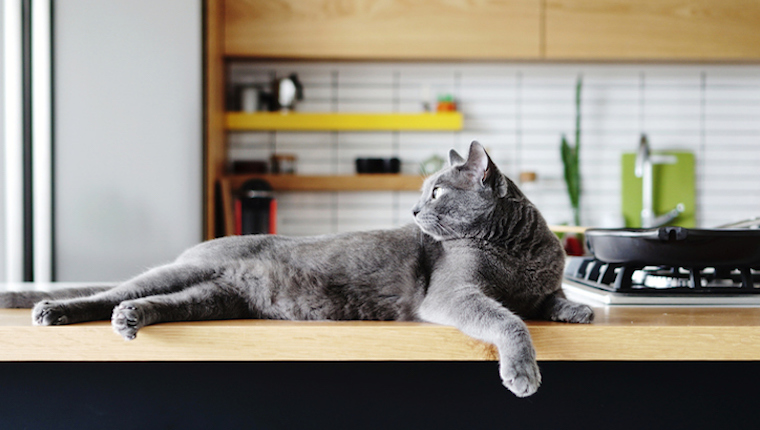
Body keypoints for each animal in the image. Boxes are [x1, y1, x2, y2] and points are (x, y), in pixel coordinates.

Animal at [0, 143, 592, 398]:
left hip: (216, 297)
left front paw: (579, 310)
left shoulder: (541, 283)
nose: (413, 211)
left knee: (153, 303)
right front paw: (523, 372)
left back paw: (129, 319)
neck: (514, 248)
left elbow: (549, 298)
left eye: (437, 191)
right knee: (111, 291)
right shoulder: (453, 294)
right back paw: (56, 310)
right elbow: (508, 319)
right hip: (183, 275)